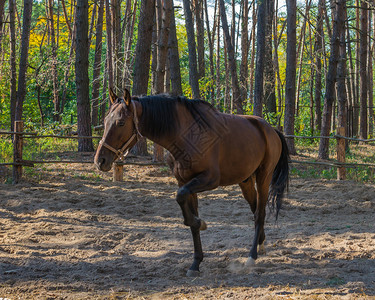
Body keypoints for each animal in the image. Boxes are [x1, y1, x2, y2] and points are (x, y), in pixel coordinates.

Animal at [95, 88, 290, 276]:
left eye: (121, 123)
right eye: (105, 120)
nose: (100, 160)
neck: (185, 135)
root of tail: (271, 130)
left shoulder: (209, 179)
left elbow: (182, 200)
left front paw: (200, 223)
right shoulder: (185, 182)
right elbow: (190, 220)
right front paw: (196, 262)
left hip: (264, 177)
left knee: (260, 213)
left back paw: (252, 256)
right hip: (245, 181)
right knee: (255, 209)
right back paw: (261, 244)